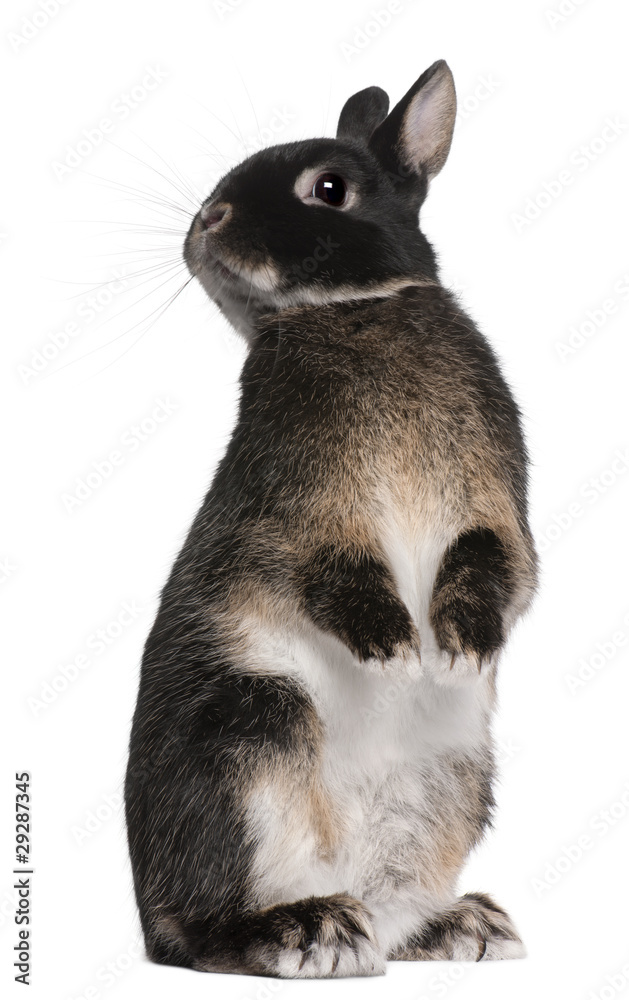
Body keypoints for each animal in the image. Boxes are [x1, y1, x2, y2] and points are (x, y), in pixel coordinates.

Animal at [124, 59, 538, 978]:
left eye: (328, 188)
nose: (209, 220)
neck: (352, 309)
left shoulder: (496, 505)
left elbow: (500, 564)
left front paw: (457, 651)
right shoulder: (300, 513)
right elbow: (326, 568)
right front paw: (393, 651)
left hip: (449, 782)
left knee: (390, 908)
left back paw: (464, 928)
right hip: (251, 735)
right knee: (202, 931)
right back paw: (304, 929)